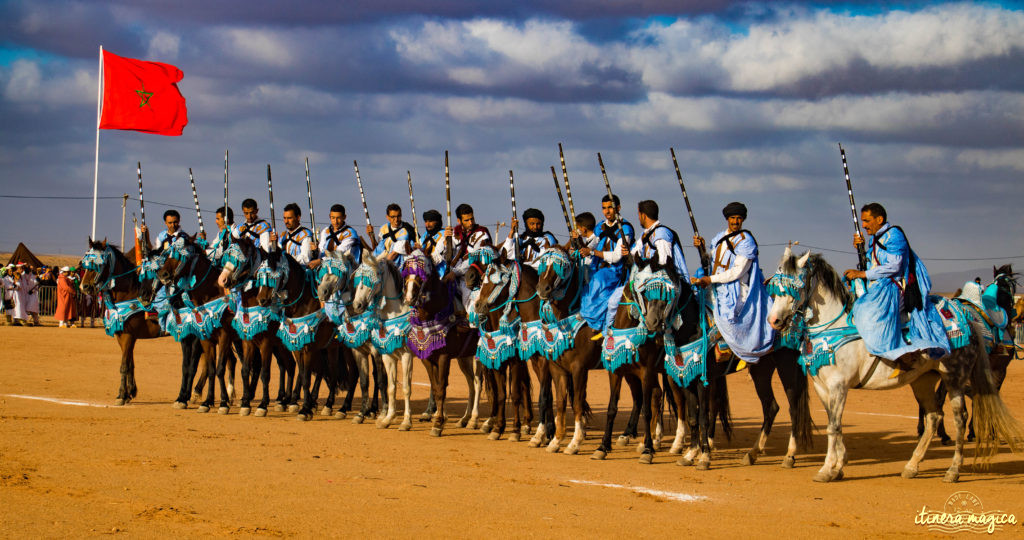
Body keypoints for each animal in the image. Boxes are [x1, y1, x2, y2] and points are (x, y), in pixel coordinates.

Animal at [770, 246, 1015, 483]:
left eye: (794, 288)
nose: (774, 321)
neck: (833, 327)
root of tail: (968, 319)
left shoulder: (839, 385)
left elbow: (833, 425)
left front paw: (827, 469)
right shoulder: (822, 386)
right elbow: (833, 422)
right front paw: (839, 466)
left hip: (955, 377)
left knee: (959, 418)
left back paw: (953, 470)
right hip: (924, 381)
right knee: (934, 416)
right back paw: (912, 466)